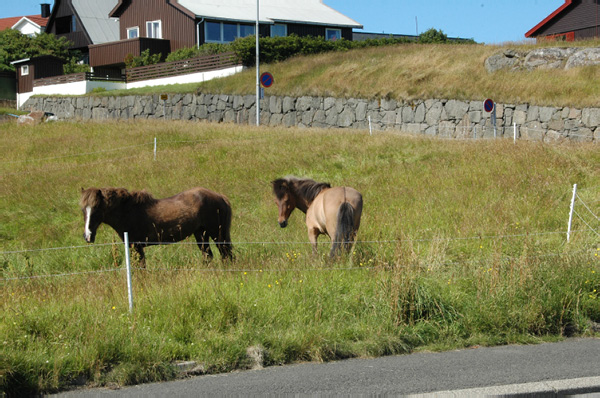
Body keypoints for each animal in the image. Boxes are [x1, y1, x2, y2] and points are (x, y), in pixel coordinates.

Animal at [78, 187, 232, 264]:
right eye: (83, 209)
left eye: (97, 209)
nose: (88, 236)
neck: (128, 212)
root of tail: (220, 197)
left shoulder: (136, 246)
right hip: (201, 234)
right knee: (209, 256)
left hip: (217, 234)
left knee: (226, 256)